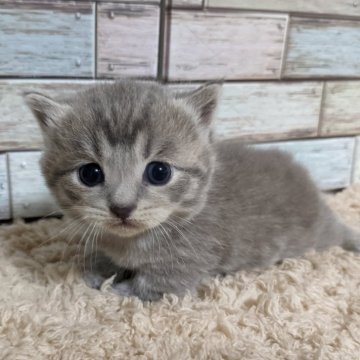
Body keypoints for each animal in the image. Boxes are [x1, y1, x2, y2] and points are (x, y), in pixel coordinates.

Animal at [23, 79, 358, 300]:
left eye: (159, 172)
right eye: (90, 174)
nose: (122, 207)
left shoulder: (188, 261)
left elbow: (155, 285)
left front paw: (120, 288)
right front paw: (101, 268)